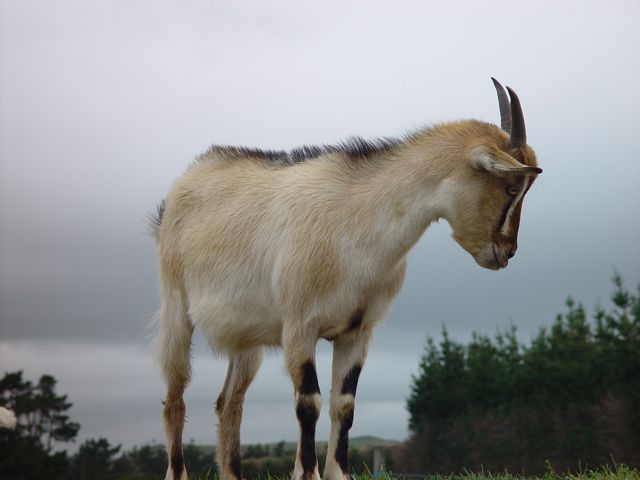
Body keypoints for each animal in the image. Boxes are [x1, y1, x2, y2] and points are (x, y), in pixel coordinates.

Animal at [152, 78, 541, 480]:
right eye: (512, 188)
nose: (507, 252)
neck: (354, 221)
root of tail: (189, 178)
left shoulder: (358, 331)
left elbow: (344, 403)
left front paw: (339, 472)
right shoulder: (300, 327)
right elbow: (308, 401)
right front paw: (307, 473)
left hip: (246, 341)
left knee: (229, 401)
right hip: (175, 309)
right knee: (175, 397)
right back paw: (177, 471)